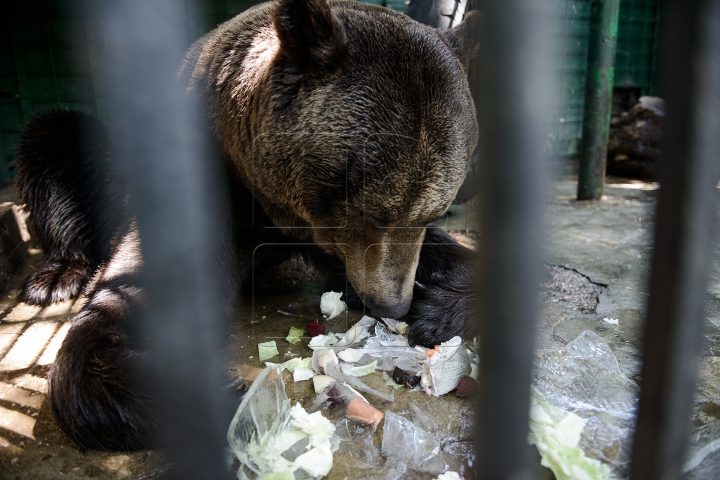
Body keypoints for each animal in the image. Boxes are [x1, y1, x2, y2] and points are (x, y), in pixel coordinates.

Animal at [14, 0, 480, 452]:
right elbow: (135, 295)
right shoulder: (213, 190)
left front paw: (439, 305)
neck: (276, 205)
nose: (393, 305)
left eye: (434, 212)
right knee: (49, 136)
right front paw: (199, 393)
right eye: (372, 214)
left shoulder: (320, 233)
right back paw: (56, 276)